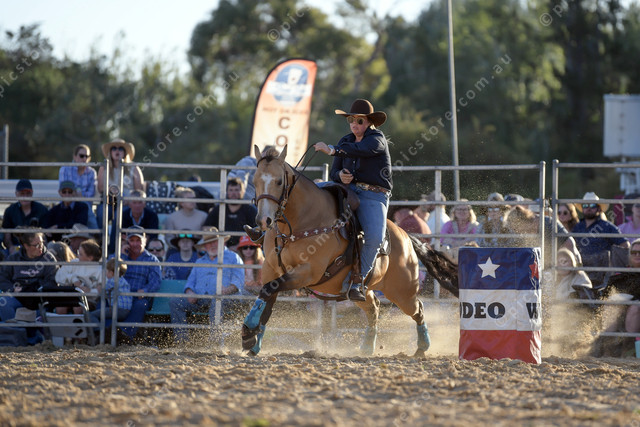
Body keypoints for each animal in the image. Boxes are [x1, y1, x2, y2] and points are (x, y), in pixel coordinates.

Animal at [241, 145, 459, 356]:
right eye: (255, 180)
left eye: (279, 181)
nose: (263, 220)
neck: (300, 223)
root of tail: (406, 238)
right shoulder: (271, 269)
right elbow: (267, 300)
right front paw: (253, 341)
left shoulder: (308, 272)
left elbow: (268, 291)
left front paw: (248, 331)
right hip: (363, 290)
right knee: (374, 308)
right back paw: (367, 347)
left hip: (402, 292)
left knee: (418, 309)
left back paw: (422, 346)